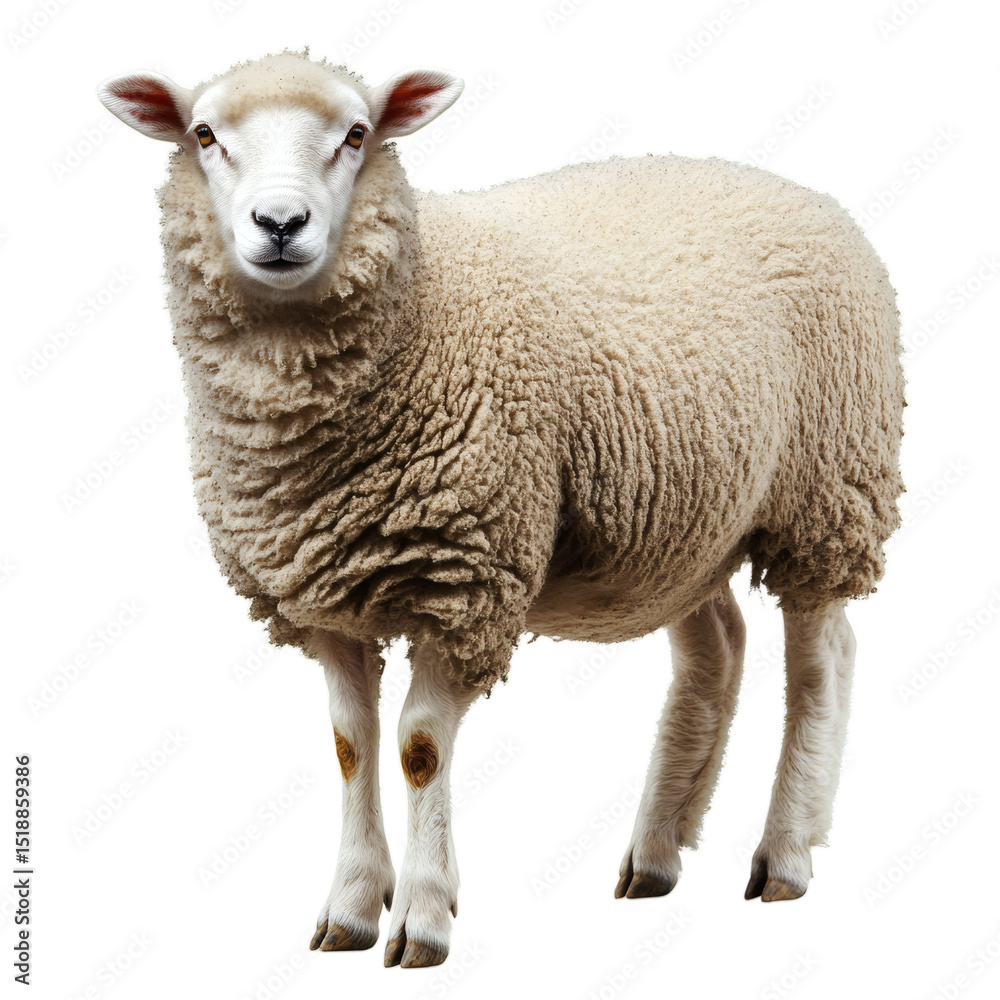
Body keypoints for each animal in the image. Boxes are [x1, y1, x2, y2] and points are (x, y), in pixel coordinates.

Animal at [97, 50, 904, 968]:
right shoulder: (322, 592)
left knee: (821, 660)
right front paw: (350, 908)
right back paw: (657, 852)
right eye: (204, 135)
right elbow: (349, 745)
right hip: (684, 524)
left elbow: (417, 748)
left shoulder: (464, 578)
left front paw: (423, 916)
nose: (280, 222)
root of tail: (803, 191)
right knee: (716, 652)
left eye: (356, 134)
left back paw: (786, 854)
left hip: (828, 491)